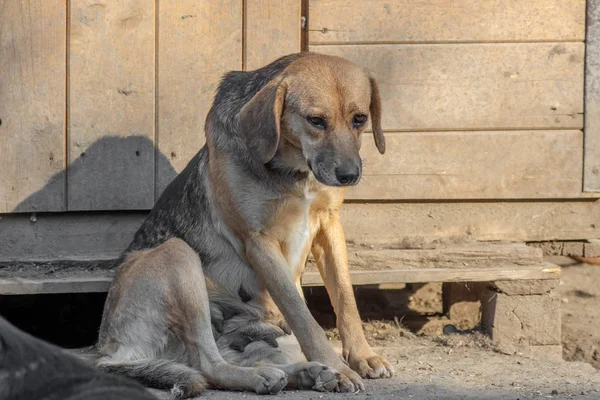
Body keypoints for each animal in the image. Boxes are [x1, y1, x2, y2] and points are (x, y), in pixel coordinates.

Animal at [95, 52, 392, 396]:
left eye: (359, 118)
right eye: (316, 120)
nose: (349, 175)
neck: (293, 169)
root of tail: (109, 349)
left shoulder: (329, 225)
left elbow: (345, 299)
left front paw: (361, 356)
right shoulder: (260, 242)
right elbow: (303, 316)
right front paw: (338, 366)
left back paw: (302, 373)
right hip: (179, 255)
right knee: (210, 366)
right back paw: (269, 376)